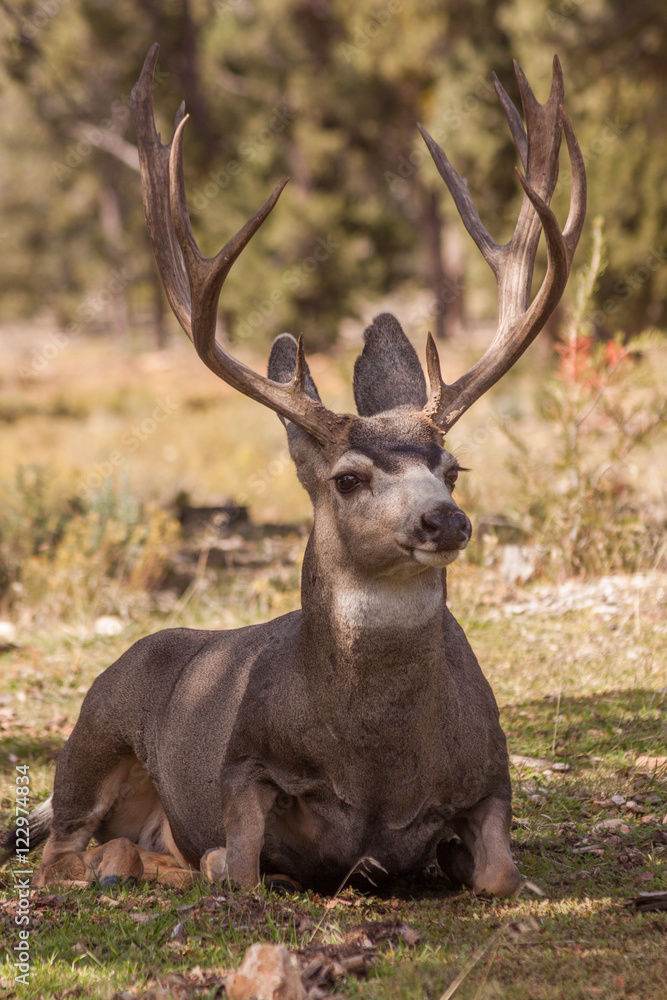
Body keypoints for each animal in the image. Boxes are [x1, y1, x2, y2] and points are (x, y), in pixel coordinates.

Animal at [2, 45, 585, 897]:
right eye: (348, 478)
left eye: (452, 467)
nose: (444, 519)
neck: (377, 767)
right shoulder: (244, 764)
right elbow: (238, 862)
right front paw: (223, 861)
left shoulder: (493, 777)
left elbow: (500, 876)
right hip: (88, 736)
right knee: (58, 854)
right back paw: (123, 861)